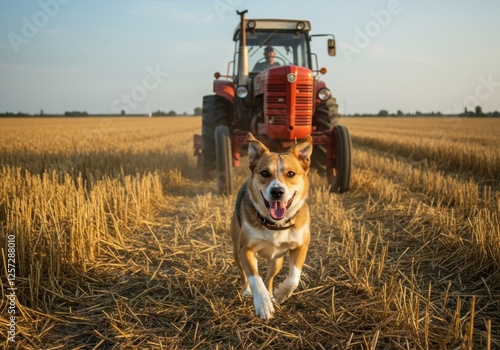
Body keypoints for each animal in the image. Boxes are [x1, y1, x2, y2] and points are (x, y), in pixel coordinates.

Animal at [231, 134, 312, 320]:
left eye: (291, 174)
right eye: (264, 173)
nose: (277, 191)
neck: (275, 224)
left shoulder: (301, 246)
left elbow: (294, 278)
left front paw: (280, 294)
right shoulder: (245, 249)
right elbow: (255, 278)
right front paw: (262, 303)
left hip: (277, 261)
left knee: (269, 278)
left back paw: (271, 295)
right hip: (237, 253)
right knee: (245, 273)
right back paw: (248, 291)